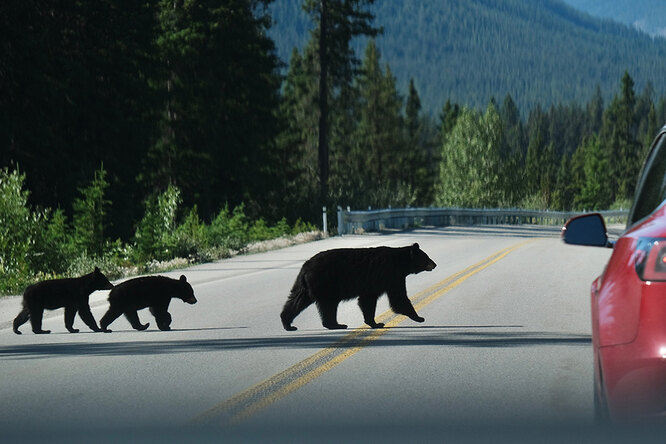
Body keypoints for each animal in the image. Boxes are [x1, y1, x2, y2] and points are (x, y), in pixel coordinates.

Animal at [280, 241, 436, 332]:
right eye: (427, 257)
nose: (434, 264)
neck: (401, 262)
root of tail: (305, 267)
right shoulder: (390, 275)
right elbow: (398, 298)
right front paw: (419, 317)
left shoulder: (375, 283)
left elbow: (368, 300)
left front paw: (373, 322)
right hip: (326, 283)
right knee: (328, 305)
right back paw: (336, 324)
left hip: (305, 287)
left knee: (296, 301)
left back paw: (288, 324)